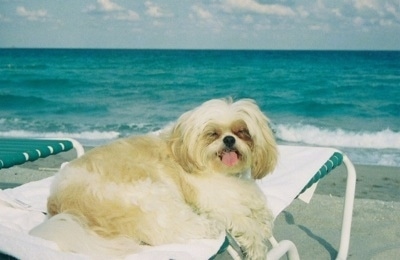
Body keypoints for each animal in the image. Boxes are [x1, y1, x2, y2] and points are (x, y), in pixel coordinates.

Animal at [30, 98, 278, 258]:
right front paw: (257, 245)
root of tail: (60, 208)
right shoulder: (217, 200)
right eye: (213, 134)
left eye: (242, 132)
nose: (229, 140)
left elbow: (260, 208)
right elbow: (246, 222)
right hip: (151, 196)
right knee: (173, 229)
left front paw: (263, 222)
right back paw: (210, 226)